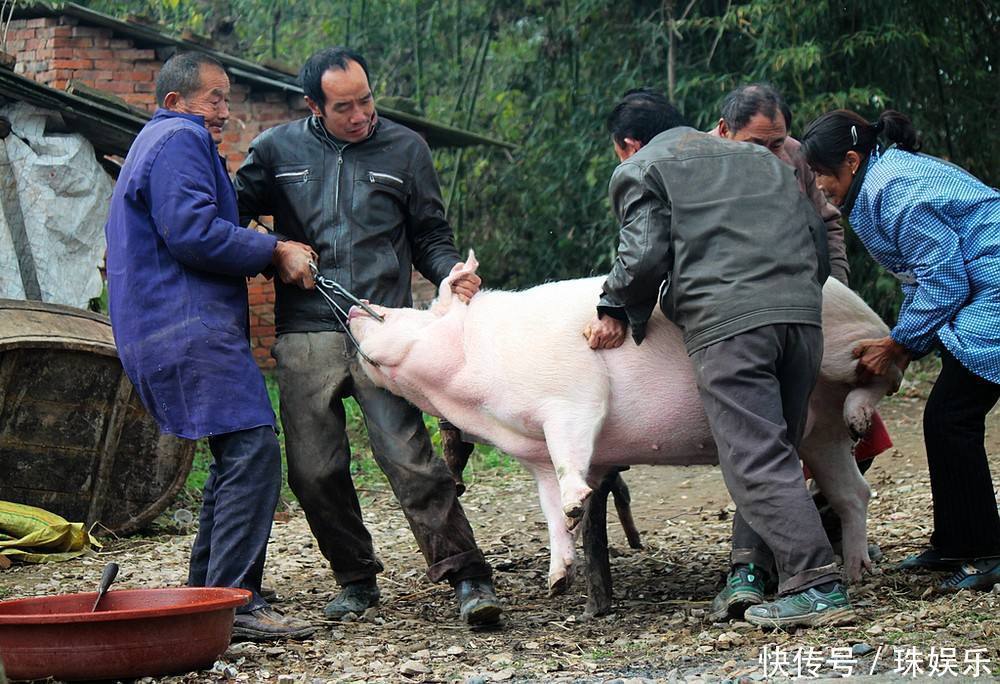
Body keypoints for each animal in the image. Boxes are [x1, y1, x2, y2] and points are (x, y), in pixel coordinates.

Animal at [348, 254, 896, 596]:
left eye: (408, 310)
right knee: (853, 492)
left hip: (846, 345)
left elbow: (573, 452)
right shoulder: (534, 452)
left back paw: (863, 408)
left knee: (888, 365)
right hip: (818, 433)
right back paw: (857, 572)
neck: (478, 392)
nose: (354, 306)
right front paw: (557, 580)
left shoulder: (572, 397)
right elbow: (548, 505)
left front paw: (577, 504)